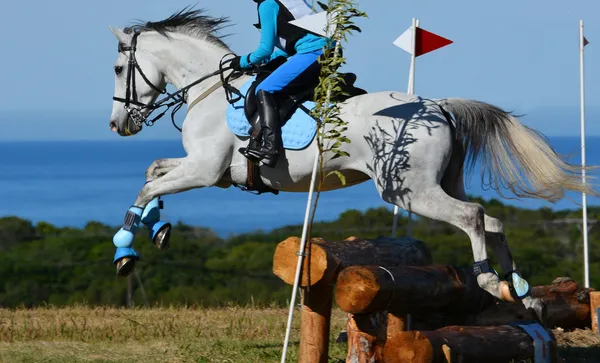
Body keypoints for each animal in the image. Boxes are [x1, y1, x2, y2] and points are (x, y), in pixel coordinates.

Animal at [106, 9, 596, 322]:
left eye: (116, 69)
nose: (116, 125)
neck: (207, 89)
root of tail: (437, 105)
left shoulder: (205, 171)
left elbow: (147, 186)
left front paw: (126, 251)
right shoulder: (211, 173)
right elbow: (153, 173)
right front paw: (159, 229)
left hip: (407, 189)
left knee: (473, 216)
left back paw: (491, 282)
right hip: (442, 182)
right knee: (492, 220)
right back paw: (522, 291)